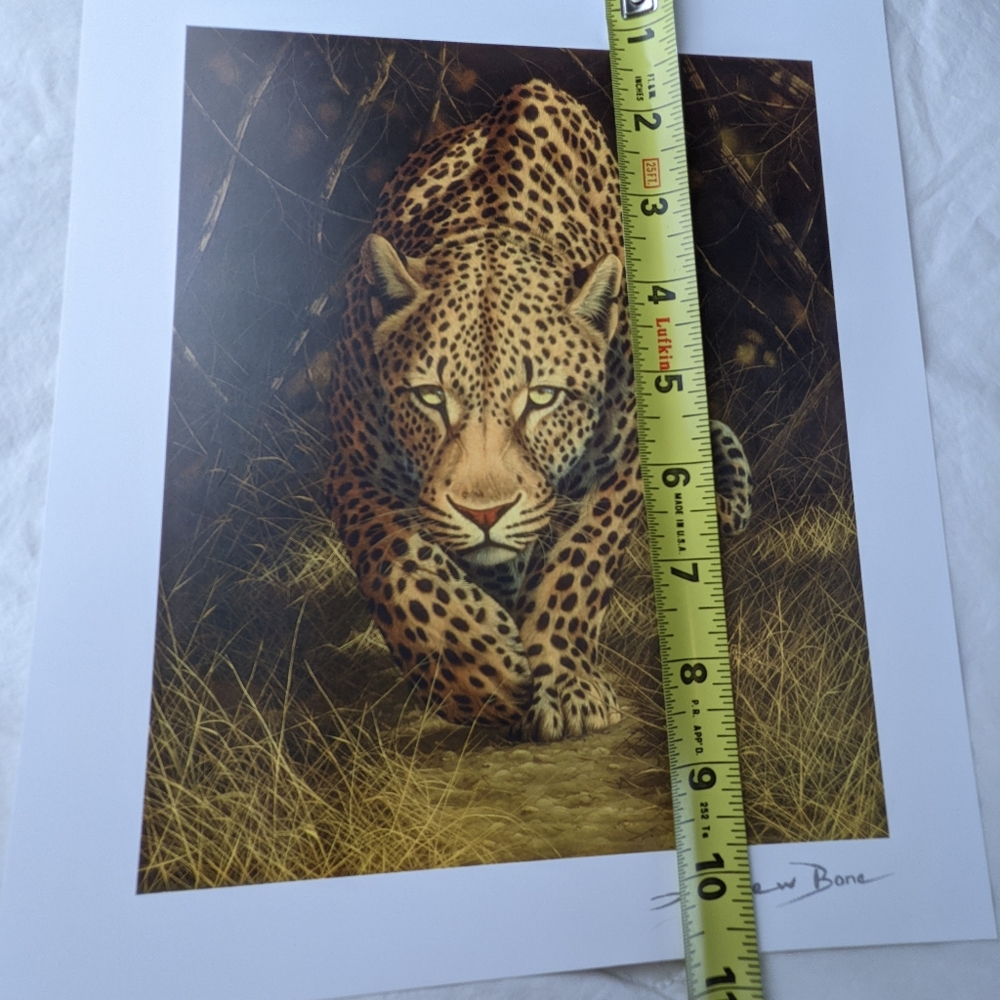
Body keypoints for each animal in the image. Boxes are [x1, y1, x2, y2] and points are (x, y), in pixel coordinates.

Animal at [327, 79, 751, 742]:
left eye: (543, 398)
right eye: (430, 397)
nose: (485, 513)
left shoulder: (631, 461)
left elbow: (581, 565)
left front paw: (569, 686)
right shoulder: (352, 472)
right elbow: (402, 571)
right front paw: (485, 678)